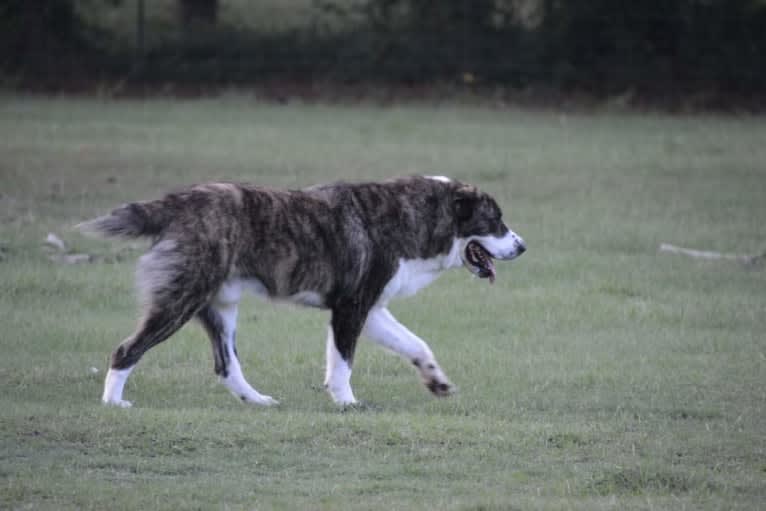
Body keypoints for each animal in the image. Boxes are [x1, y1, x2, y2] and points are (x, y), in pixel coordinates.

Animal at [79, 176, 528, 408]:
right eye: (496, 221)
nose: (522, 247)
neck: (417, 215)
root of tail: (178, 202)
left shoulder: (370, 309)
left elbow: (416, 344)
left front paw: (436, 382)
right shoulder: (351, 308)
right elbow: (343, 363)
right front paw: (347, 403)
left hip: (220, 307)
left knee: (226, 365)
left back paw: (256, 400)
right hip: (180, 299)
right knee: (126, 350)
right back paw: (113, 403)